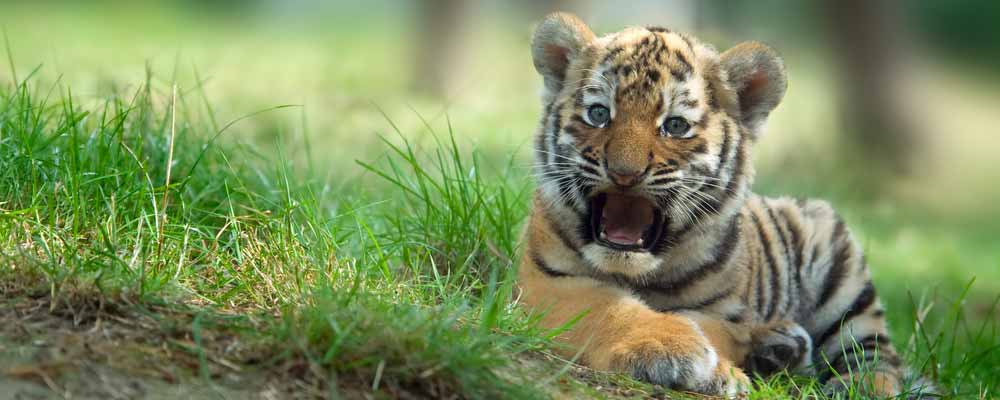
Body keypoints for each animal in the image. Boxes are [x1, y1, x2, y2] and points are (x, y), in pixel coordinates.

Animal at [515, 12, 933, 397]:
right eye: (599, 114)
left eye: (675, 126)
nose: (624, 174)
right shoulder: (543, 282)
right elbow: (609, 307)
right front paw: (676, 350)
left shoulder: (724, 309)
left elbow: (709, 323)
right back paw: (779, 347)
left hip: (840, 270)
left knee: (876, 356)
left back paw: (854, 382)